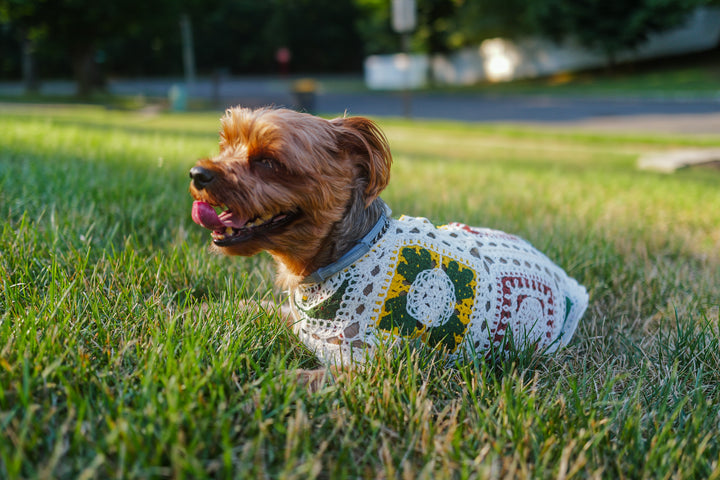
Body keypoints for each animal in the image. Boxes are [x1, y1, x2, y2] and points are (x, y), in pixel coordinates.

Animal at [193, 106, 592, 382]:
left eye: (268, 161)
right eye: (225, 144)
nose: (197, 173)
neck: (347, 254)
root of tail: (568, 284)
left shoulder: (372, 365)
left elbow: (298, 379)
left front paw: (246, 381)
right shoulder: (300, 318)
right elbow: (259, 307)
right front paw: (201, 310)